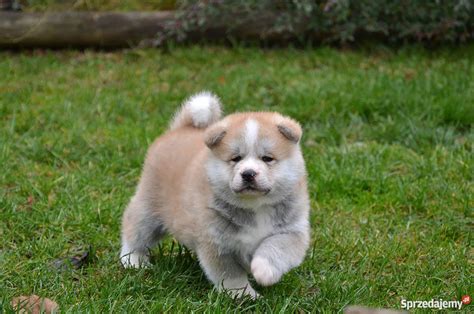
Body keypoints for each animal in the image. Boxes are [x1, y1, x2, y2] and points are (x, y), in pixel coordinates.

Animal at [120, 92, 310, 298]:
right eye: (236, 158)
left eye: (267, 158)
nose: (248, 173)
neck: (255, 206)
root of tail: (180, 129)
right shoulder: (217, 243)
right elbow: (231, 276)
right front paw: (244, 295)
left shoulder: (292, 231)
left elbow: (275, 248)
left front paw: (263, 271)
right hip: (149, 209)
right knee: (135, 231)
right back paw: (133, 261)